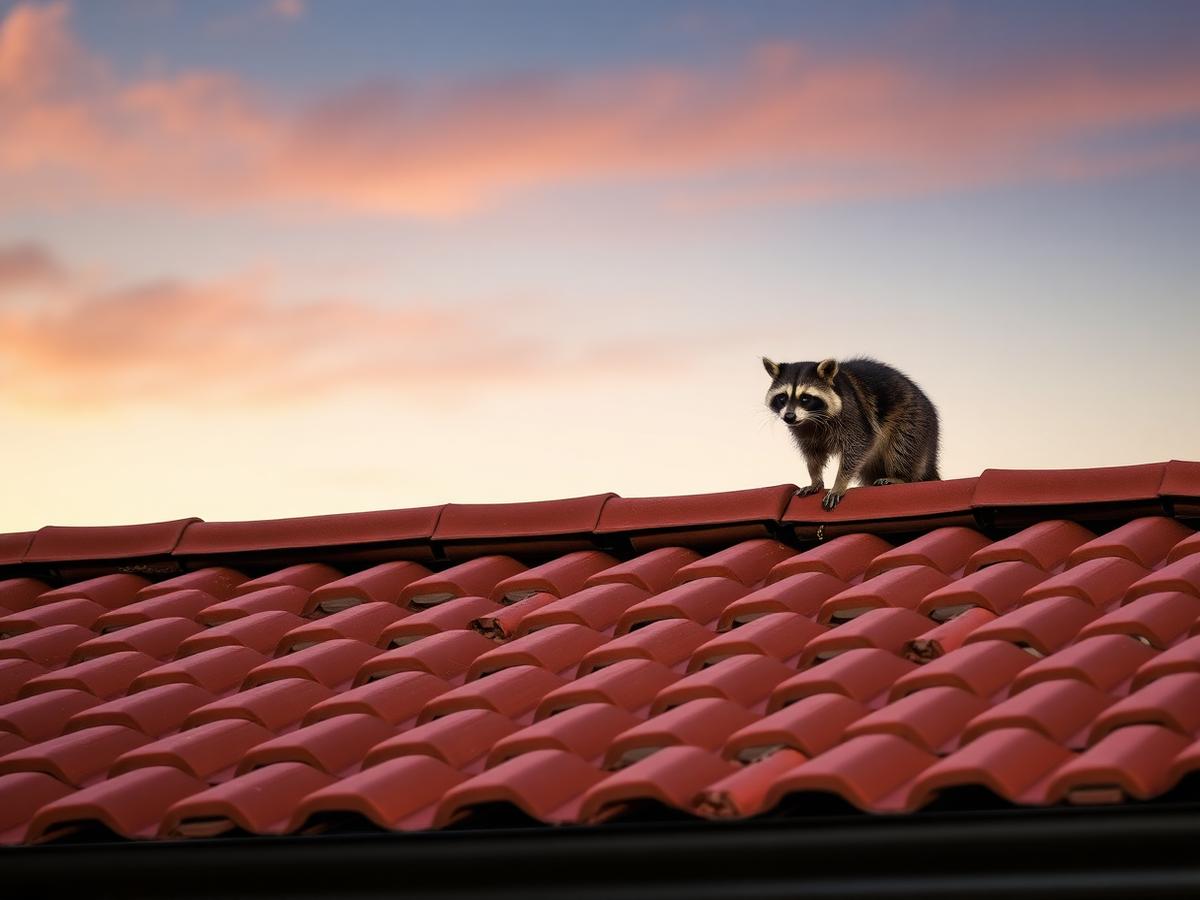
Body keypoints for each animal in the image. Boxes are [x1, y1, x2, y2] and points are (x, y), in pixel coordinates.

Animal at [763, 356, 940, 510]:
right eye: (782, 397)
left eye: (805, 398)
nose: (789, 416)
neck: (811, 419)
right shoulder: (804, 431)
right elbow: (813, 455)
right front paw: (815, 479)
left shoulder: (853, 414)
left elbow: (858, 444)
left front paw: (839, 484)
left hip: (913, 421)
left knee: (902, 449)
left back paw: (900, 477)